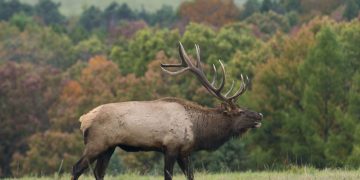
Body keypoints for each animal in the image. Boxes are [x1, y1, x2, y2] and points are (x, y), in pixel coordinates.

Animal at [71, 42, 262, 180]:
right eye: (239, 111)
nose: (259, 115)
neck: (197, 129)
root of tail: (83, 119)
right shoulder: (170, 147)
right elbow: (168, 176)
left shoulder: (184, 151)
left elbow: (191, 176)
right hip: (96, 142)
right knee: (76, 168)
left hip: (109, 147)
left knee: (98, 172)